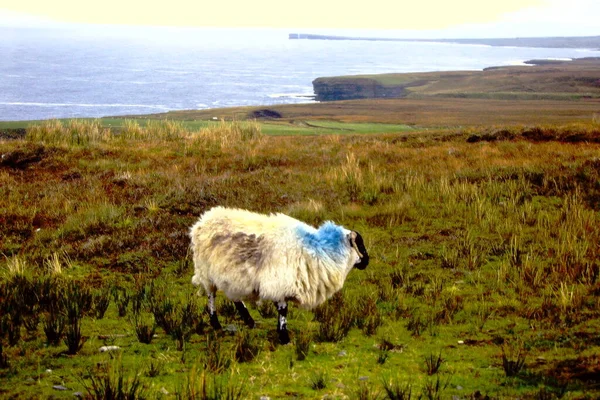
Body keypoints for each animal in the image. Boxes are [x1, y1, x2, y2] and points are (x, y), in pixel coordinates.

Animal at [190, 206, 368, 344]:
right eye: (359, 243)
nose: (367, 261)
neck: (318, 249)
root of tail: (202, 221)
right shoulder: (281, 283)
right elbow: (283, 310)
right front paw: (284, 337)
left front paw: (280, 332)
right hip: (206, 272)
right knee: (211, 296)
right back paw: (216, 324)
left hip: (231, 275)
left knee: (235, 298)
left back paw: (249, 321)